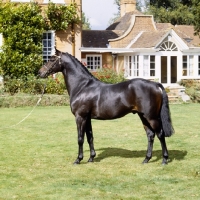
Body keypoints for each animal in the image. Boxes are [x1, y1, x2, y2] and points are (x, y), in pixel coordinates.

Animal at [38, 49, 174, 165]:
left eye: (51, 59)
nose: (40, 72)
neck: (82, 86)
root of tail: (156, 85)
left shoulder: (80, 117)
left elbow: (80, 138)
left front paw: (78, 159)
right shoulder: (87, 118)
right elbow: (90, 137)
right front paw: (91, 158)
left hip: (152, 117)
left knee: (160, 134)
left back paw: (164, 160)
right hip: (143, 116)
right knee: (150, 135)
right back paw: (146, 159)